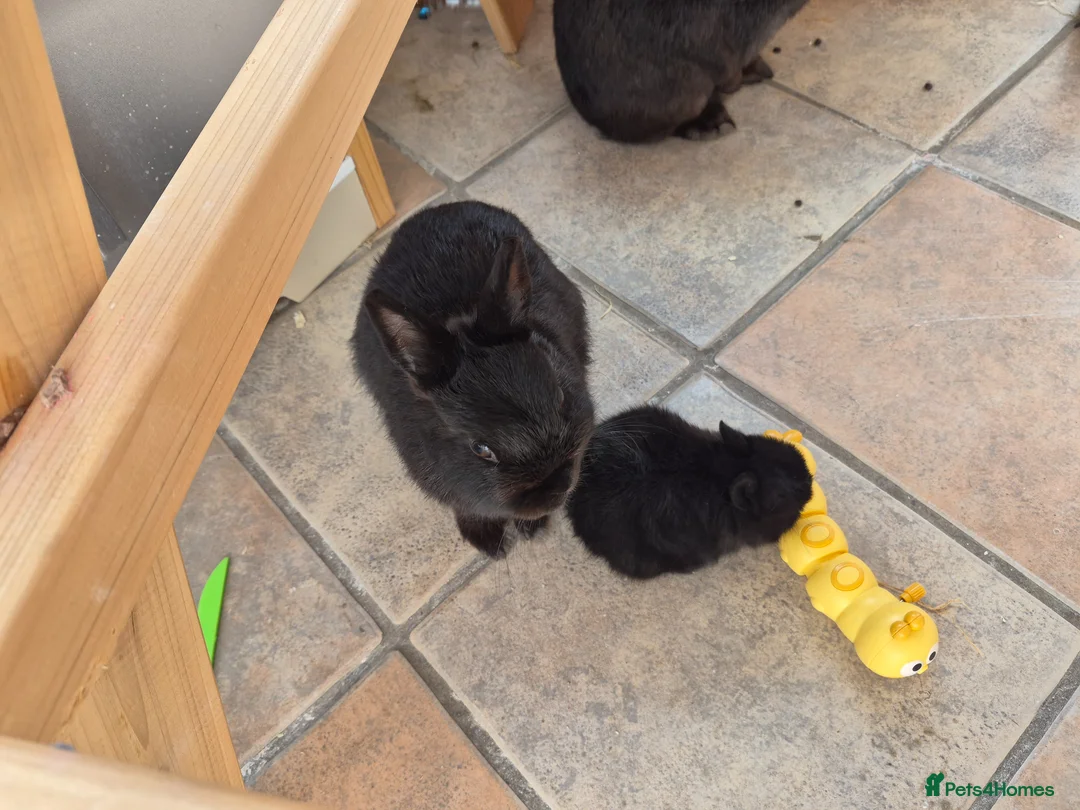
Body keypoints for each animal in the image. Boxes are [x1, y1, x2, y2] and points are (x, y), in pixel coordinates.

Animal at [351, 201, 595, 558]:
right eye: (481, 449)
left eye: (561, 399)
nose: (556, 491)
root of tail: (444, 208)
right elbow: (468, 508)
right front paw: (490, 544)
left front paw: (531, 528)